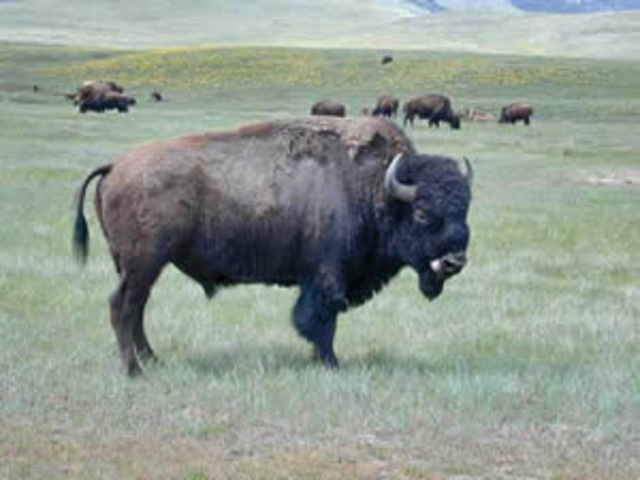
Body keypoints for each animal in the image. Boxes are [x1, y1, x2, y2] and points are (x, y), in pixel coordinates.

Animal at [73, 117, 473, 376]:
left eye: (465, 209)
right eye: (422, 213)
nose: (455, 261)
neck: (373, 187)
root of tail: (116, 165)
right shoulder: (326, 276)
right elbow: (321, 318)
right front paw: (330, 363)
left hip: (138, 265)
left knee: (136, 307)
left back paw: (152, 360)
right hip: (145, 261)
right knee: (122, 305)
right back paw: (134, 370)